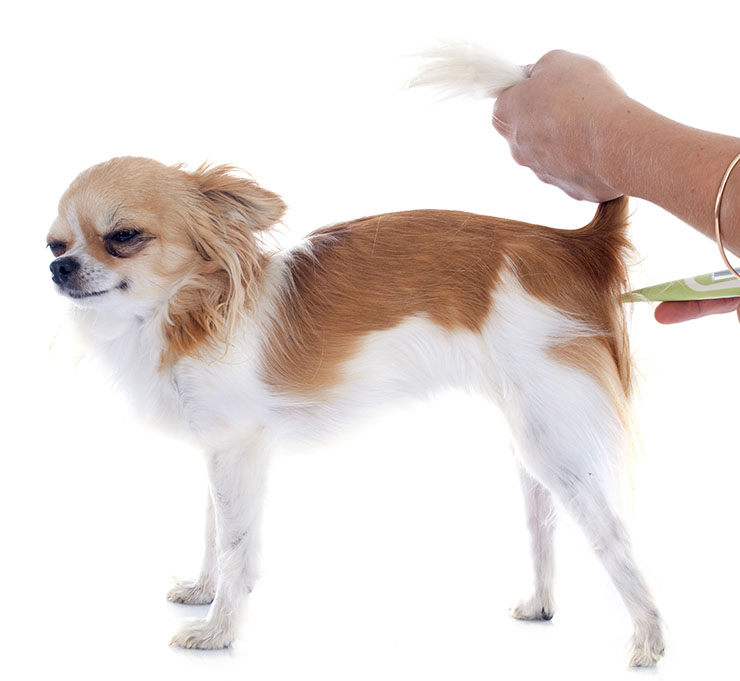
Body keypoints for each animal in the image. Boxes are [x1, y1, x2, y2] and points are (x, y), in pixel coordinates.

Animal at [46, 46, 664, 664]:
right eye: (55, 243)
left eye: (124, 236)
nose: (58, 267)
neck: (188, 312)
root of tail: (574, 245)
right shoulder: (218, 448)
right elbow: (211, 530)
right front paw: (202, 591)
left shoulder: (239, 450)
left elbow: (236, 545)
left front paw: (217, 630)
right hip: (532, 436)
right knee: (543, 527)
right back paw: (540, 605)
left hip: (553, 439)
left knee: (613, 534)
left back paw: (648, 638)